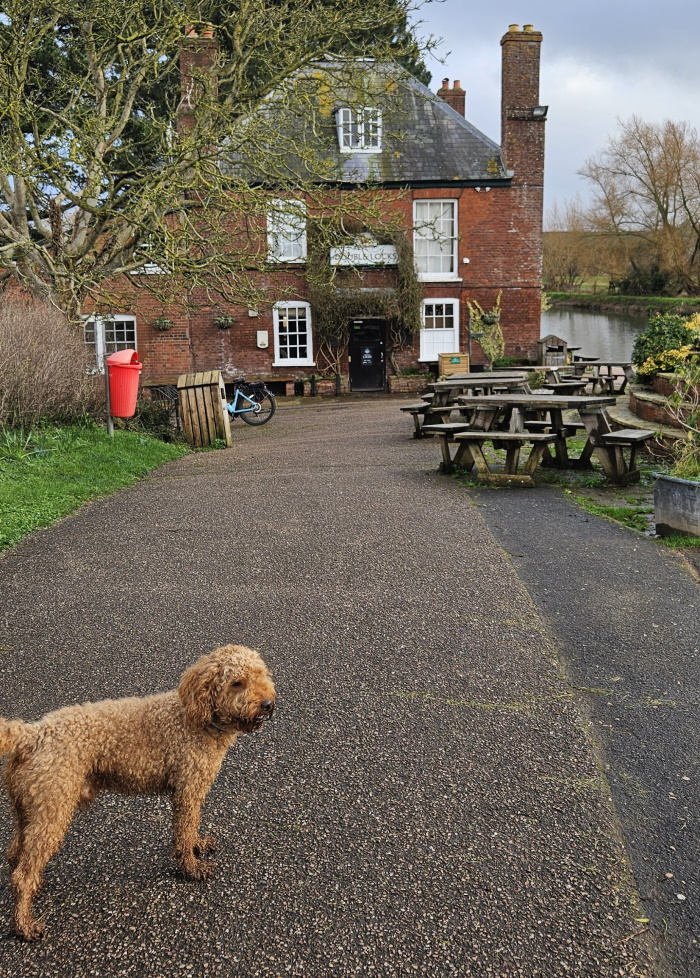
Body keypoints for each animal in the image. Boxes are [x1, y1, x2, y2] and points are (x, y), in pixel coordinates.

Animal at [0, 640, 276, 936]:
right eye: (237, 683)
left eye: (261, 674)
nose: (267, 704)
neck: (195, 719)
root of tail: (31, 734)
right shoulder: (188, 789)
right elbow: (184, 831)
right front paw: (191, 867)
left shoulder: (192, 791)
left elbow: (191, 829)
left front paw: (198, 844)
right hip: (52, 809)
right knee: (23, 874)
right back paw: (24, 924)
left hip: (29, 806)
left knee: (14, 853)